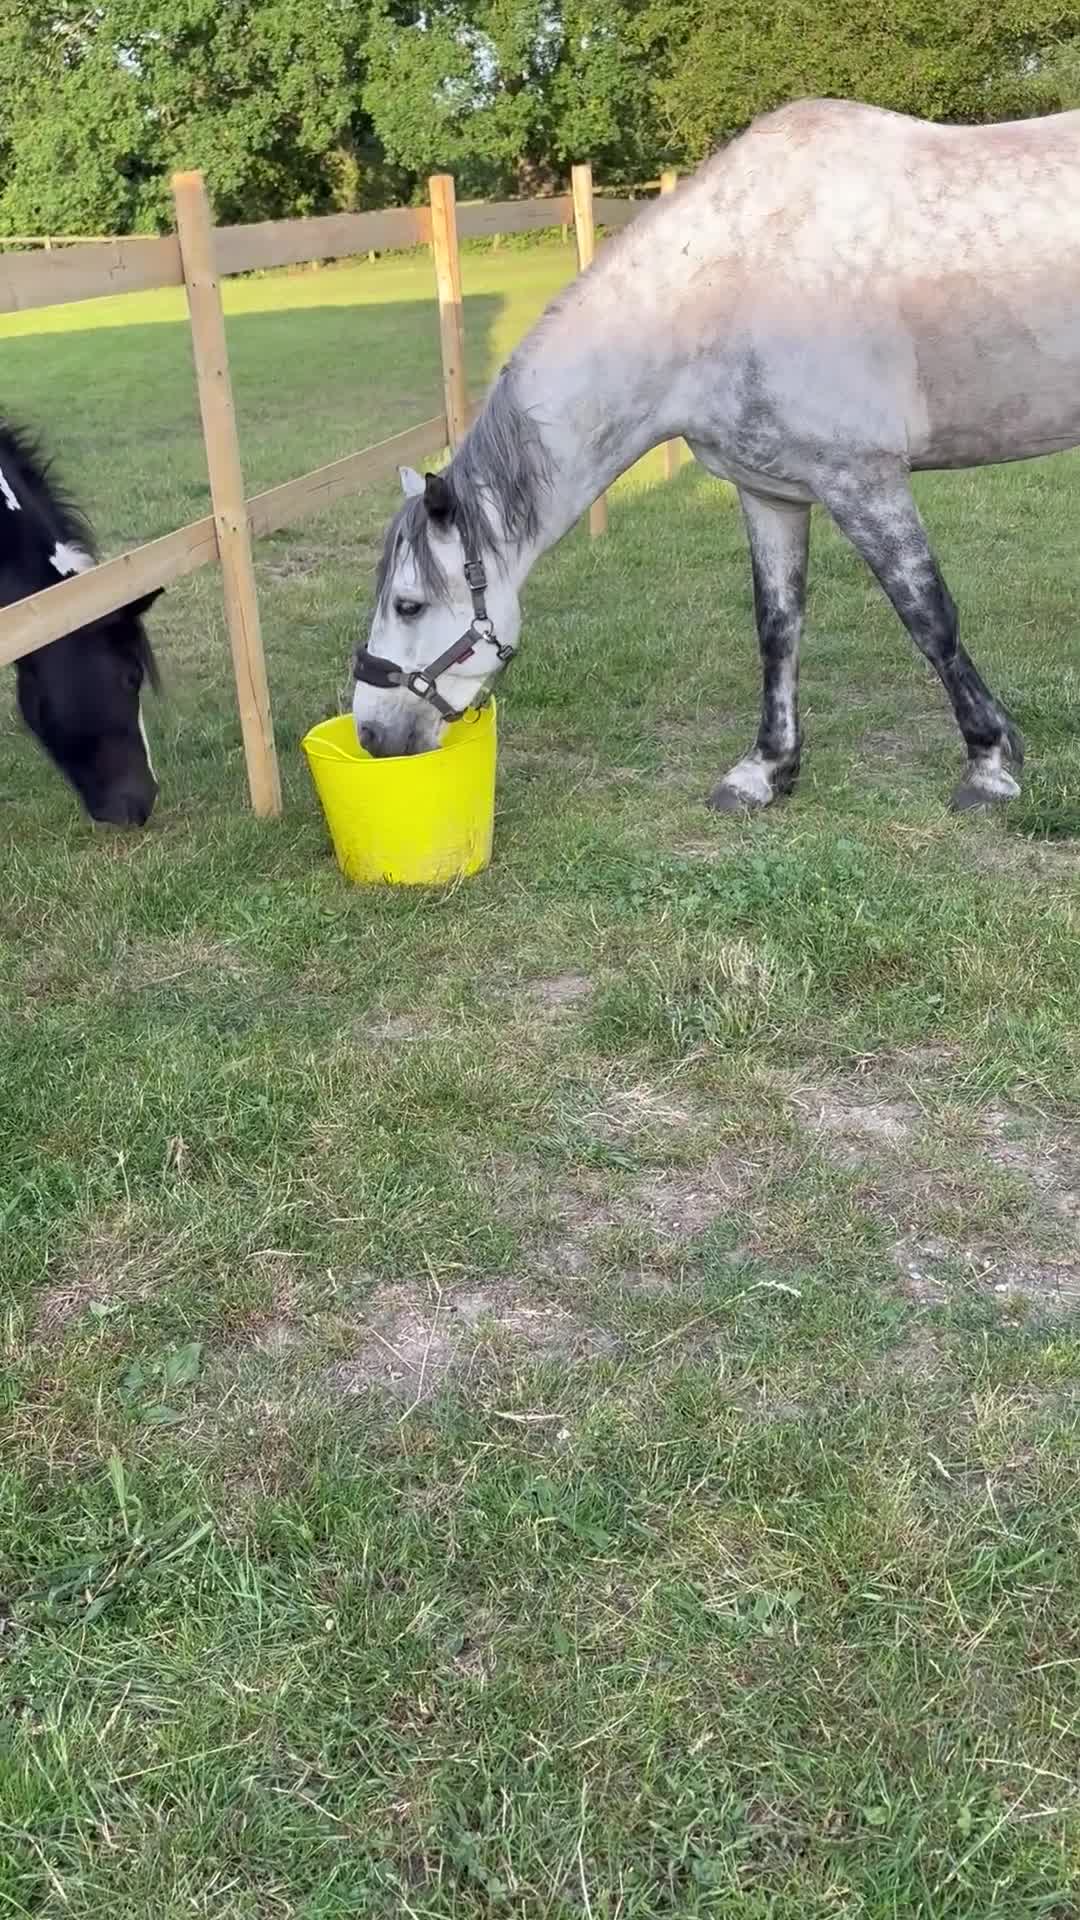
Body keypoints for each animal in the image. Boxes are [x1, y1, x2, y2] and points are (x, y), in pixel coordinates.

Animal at [357, 97, 1080, 814]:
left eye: (409, 605)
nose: (370, 735)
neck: (729, 285)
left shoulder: (863, 480)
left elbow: (930, 618)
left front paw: (988, 762)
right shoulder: (772, 492)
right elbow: (778, 627)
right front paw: (764, 770)